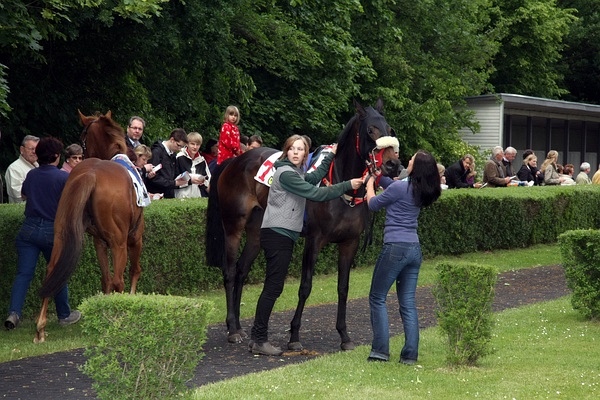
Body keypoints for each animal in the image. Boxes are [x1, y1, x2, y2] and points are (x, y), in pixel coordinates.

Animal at [33, 111, 144, 342]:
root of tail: (91, 174)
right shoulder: (135, 236)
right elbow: (133, 271)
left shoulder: (98, 241)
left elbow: (104, 279)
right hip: (120, 243)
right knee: (119, 279)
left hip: (61, 233)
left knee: (52, 269)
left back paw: (40, 327)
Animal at [205, 100, 398, 350]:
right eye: (371, 130)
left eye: (389, 129)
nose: (393, 165)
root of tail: (233, 162)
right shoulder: (314, 241)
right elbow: (305, 286)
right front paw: (294, 336)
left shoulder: (350, 243)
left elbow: (343, 288)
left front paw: (344, 336)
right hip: (233, 227)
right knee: (229, 272)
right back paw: (231, 329)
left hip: (257, 232)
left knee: (241, 271)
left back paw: (237, 326)